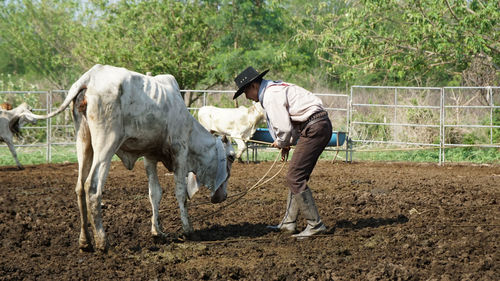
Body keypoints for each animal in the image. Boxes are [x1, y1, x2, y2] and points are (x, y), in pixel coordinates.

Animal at [26, 64, 237, 250]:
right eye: (231, 157)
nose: (223, 196)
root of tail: (89, 77)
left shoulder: (149, 157)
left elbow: (155, 193)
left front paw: (157, 232)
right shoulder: (180, 152)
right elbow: (181, 193)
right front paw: (188, 230)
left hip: (83, 142)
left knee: (79, 187)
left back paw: (85, 241)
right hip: (106, 144)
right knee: (92, 187)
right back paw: (102, 242)